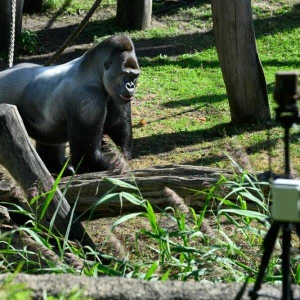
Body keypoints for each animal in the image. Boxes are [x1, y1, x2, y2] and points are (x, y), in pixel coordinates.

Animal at [0, 34, 141, 176]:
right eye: (125, 74)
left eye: (134, 76)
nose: (131, 86)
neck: (95, 72)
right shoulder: (87, 101)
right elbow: (87, 158)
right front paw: (117, 165)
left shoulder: (116, 95)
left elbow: (117, 135)